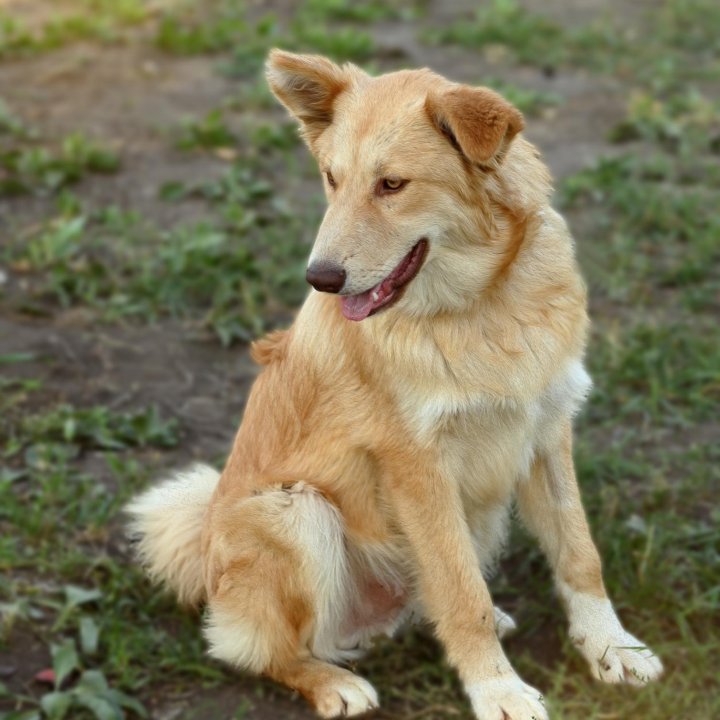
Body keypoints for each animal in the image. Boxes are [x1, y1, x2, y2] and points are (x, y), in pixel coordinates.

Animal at [125, 52, 664, 720]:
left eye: (392, 185)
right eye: (332, 179)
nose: (321, 278)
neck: (478, 306)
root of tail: (206, 556)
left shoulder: (545, 431)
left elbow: (578, 555)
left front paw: (612, 648)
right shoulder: (418, 466)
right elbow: (461, 596)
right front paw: (497, 690)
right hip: (294, 510)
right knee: (264, 653)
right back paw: (332, 683)